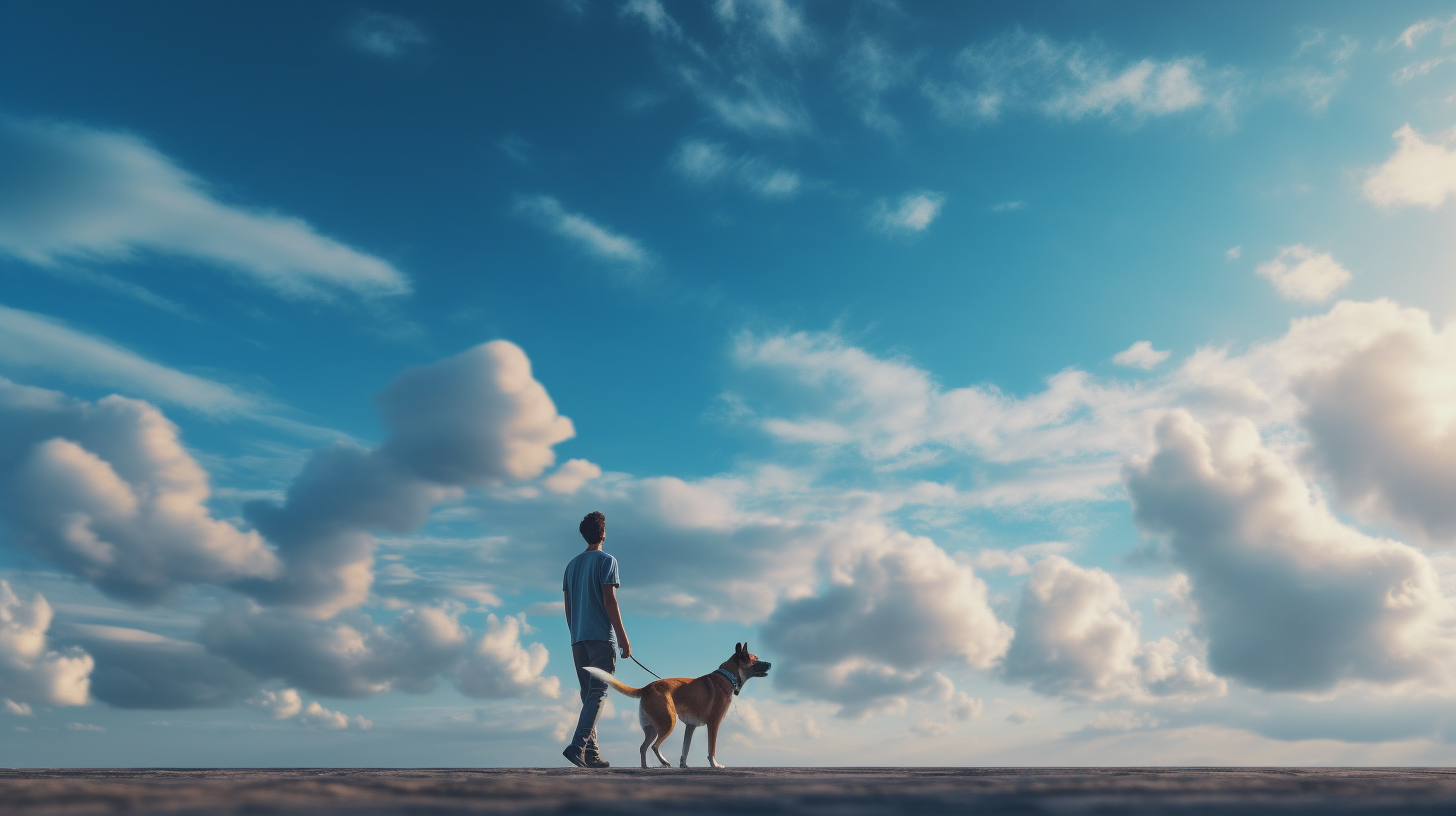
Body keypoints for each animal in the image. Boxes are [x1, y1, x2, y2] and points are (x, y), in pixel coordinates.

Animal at [582, 641, 774, 769]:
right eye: (755, 659)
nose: (771, 663)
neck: (727, 675)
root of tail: (647, 688)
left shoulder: (690, 726)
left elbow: (685, 748)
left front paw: (684, 765)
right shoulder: (714, 724)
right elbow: (711, 748)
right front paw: (715, 764)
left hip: (652, 728)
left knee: (644, 747)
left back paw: (646, 767)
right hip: (668, 722)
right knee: (654, 746)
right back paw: (664, 762)